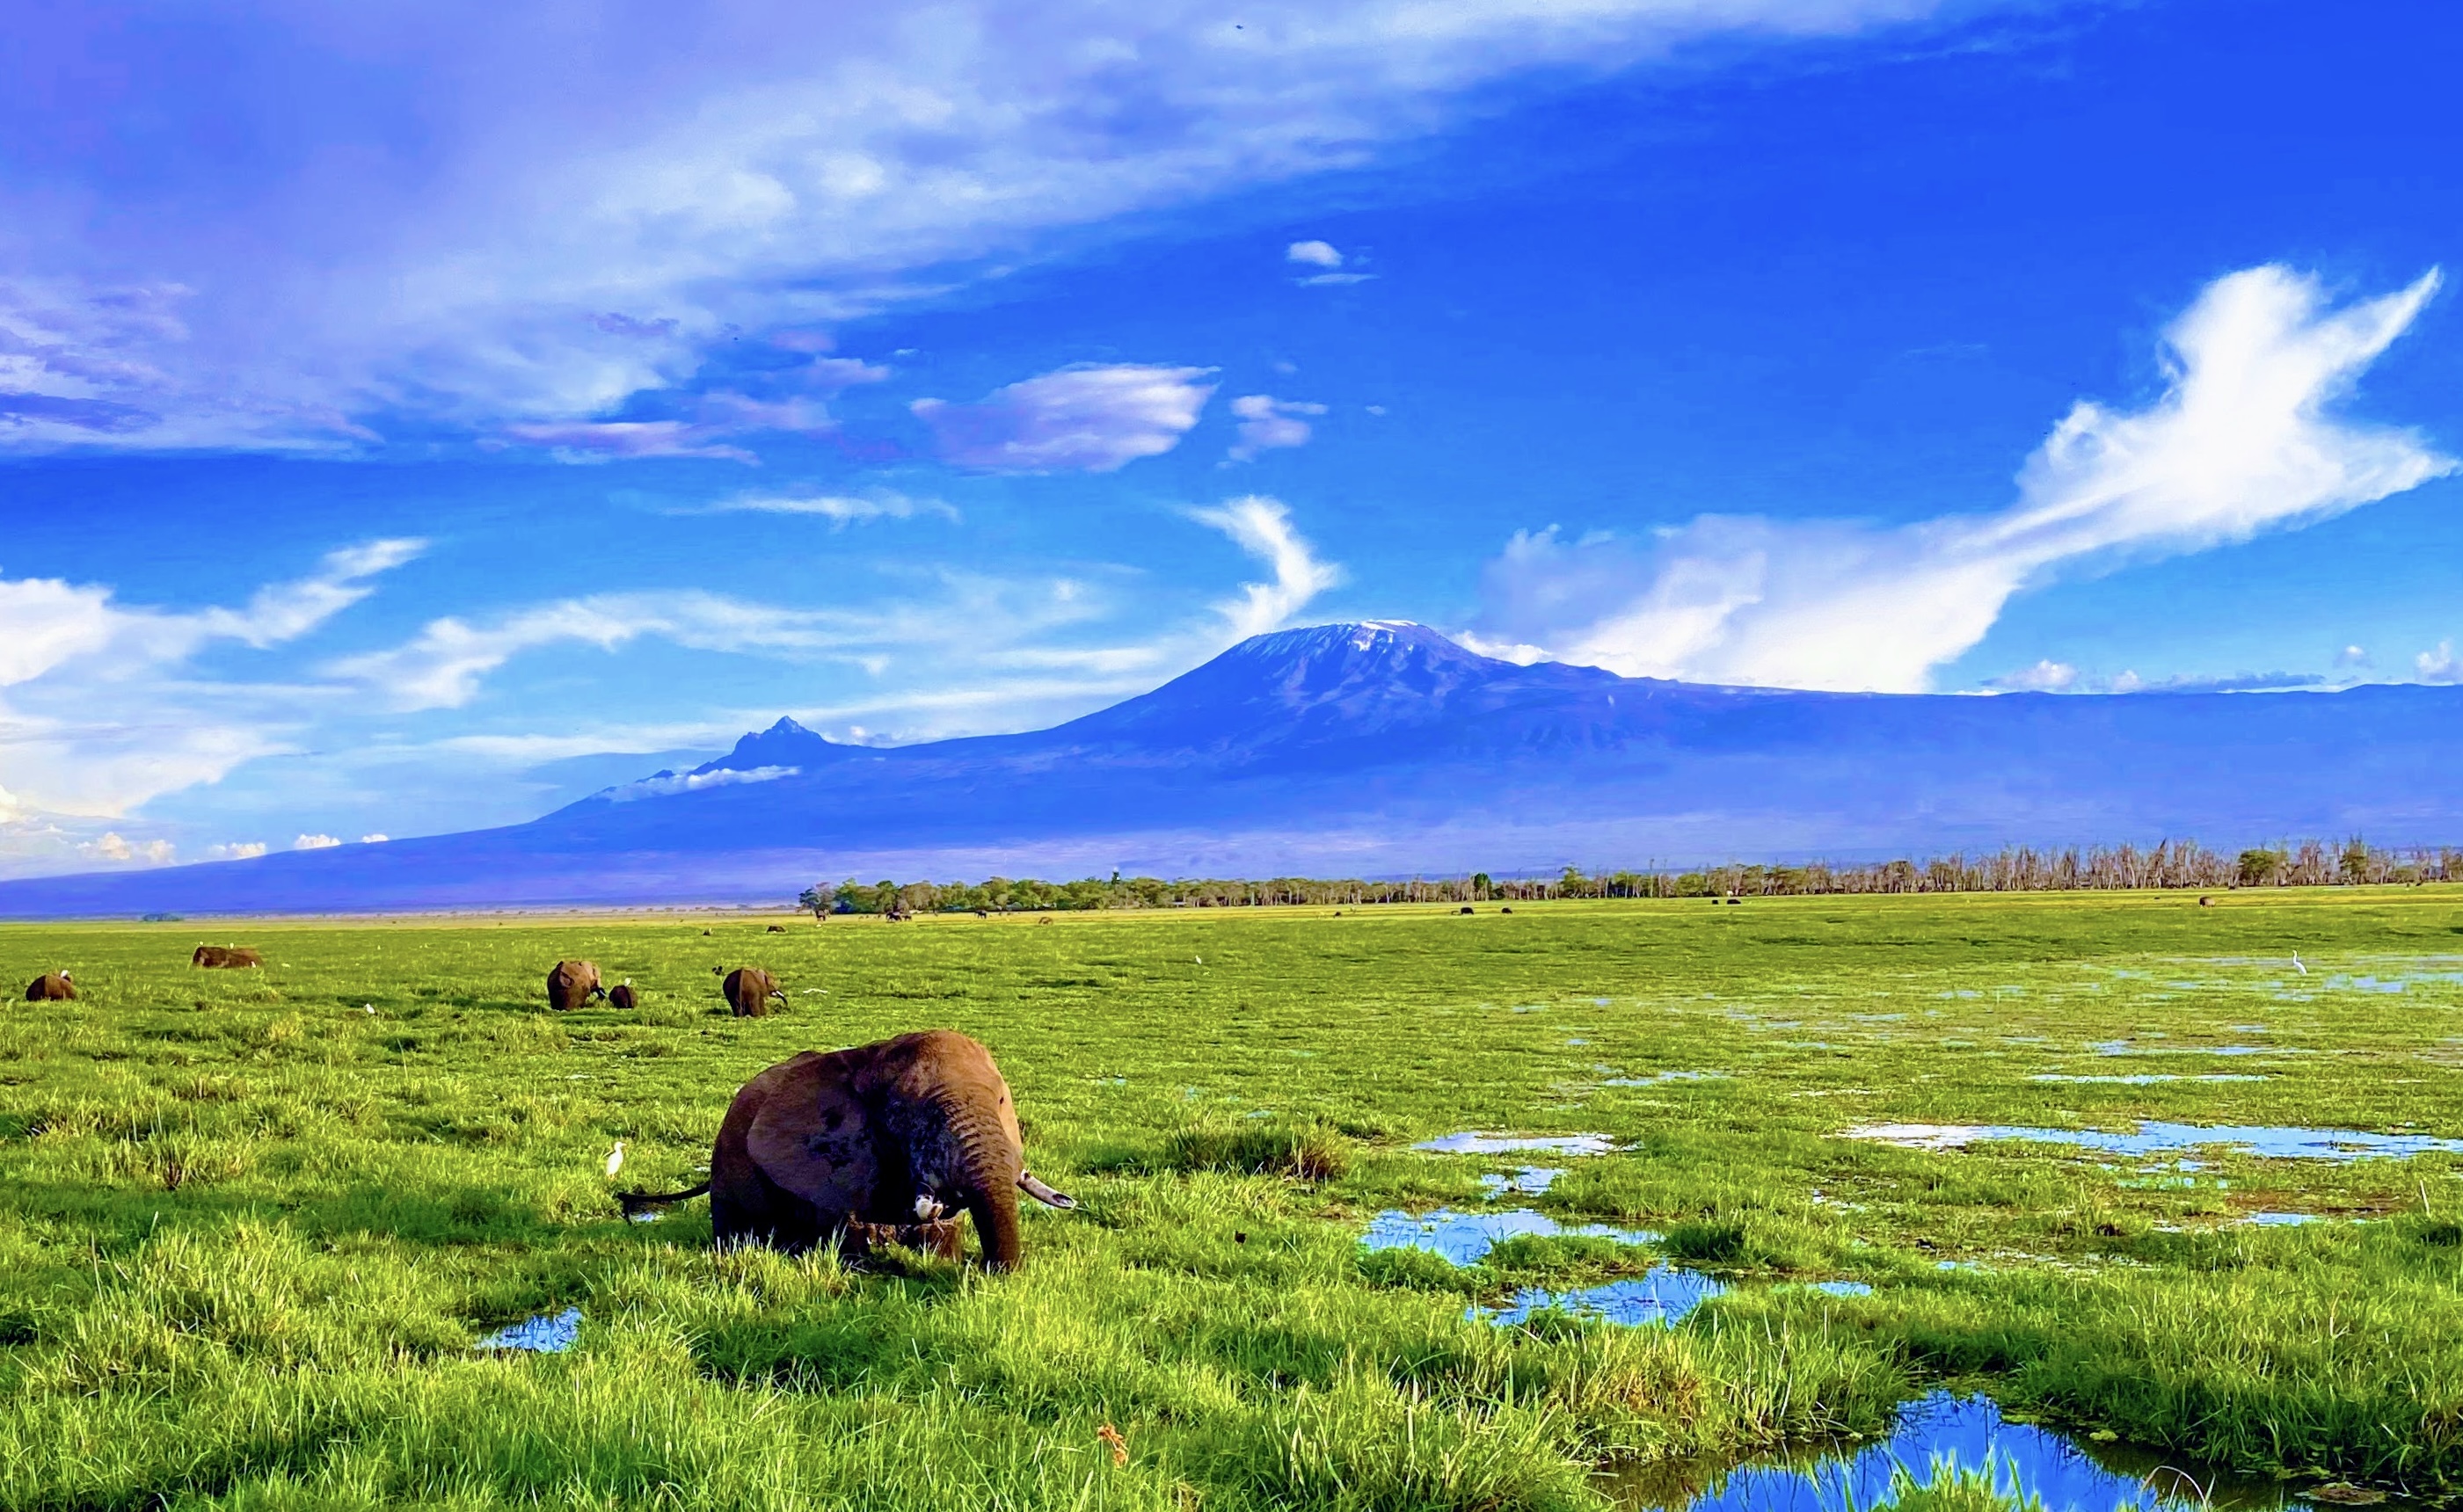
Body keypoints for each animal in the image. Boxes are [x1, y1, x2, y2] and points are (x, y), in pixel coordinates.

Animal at [620, 1039, 1074, 1270]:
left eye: (1001, 1101)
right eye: (904, 1114)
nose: (983, 1271)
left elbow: (942, 1233)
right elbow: (850, 1232)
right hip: (728, 1161)